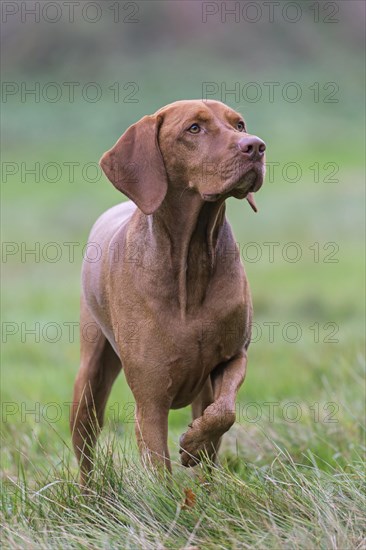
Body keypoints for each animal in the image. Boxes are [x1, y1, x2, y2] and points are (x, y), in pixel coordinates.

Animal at [71, 100, 266, 488]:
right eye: (194, 129)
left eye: (239, 124)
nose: (255, 146)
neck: (191, 259)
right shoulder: (150, 400)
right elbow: (159, 471)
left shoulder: (233, 356)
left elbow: (224, 413)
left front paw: (193, 444)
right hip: (89, 379)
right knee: (85, 445)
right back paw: (88, 496)